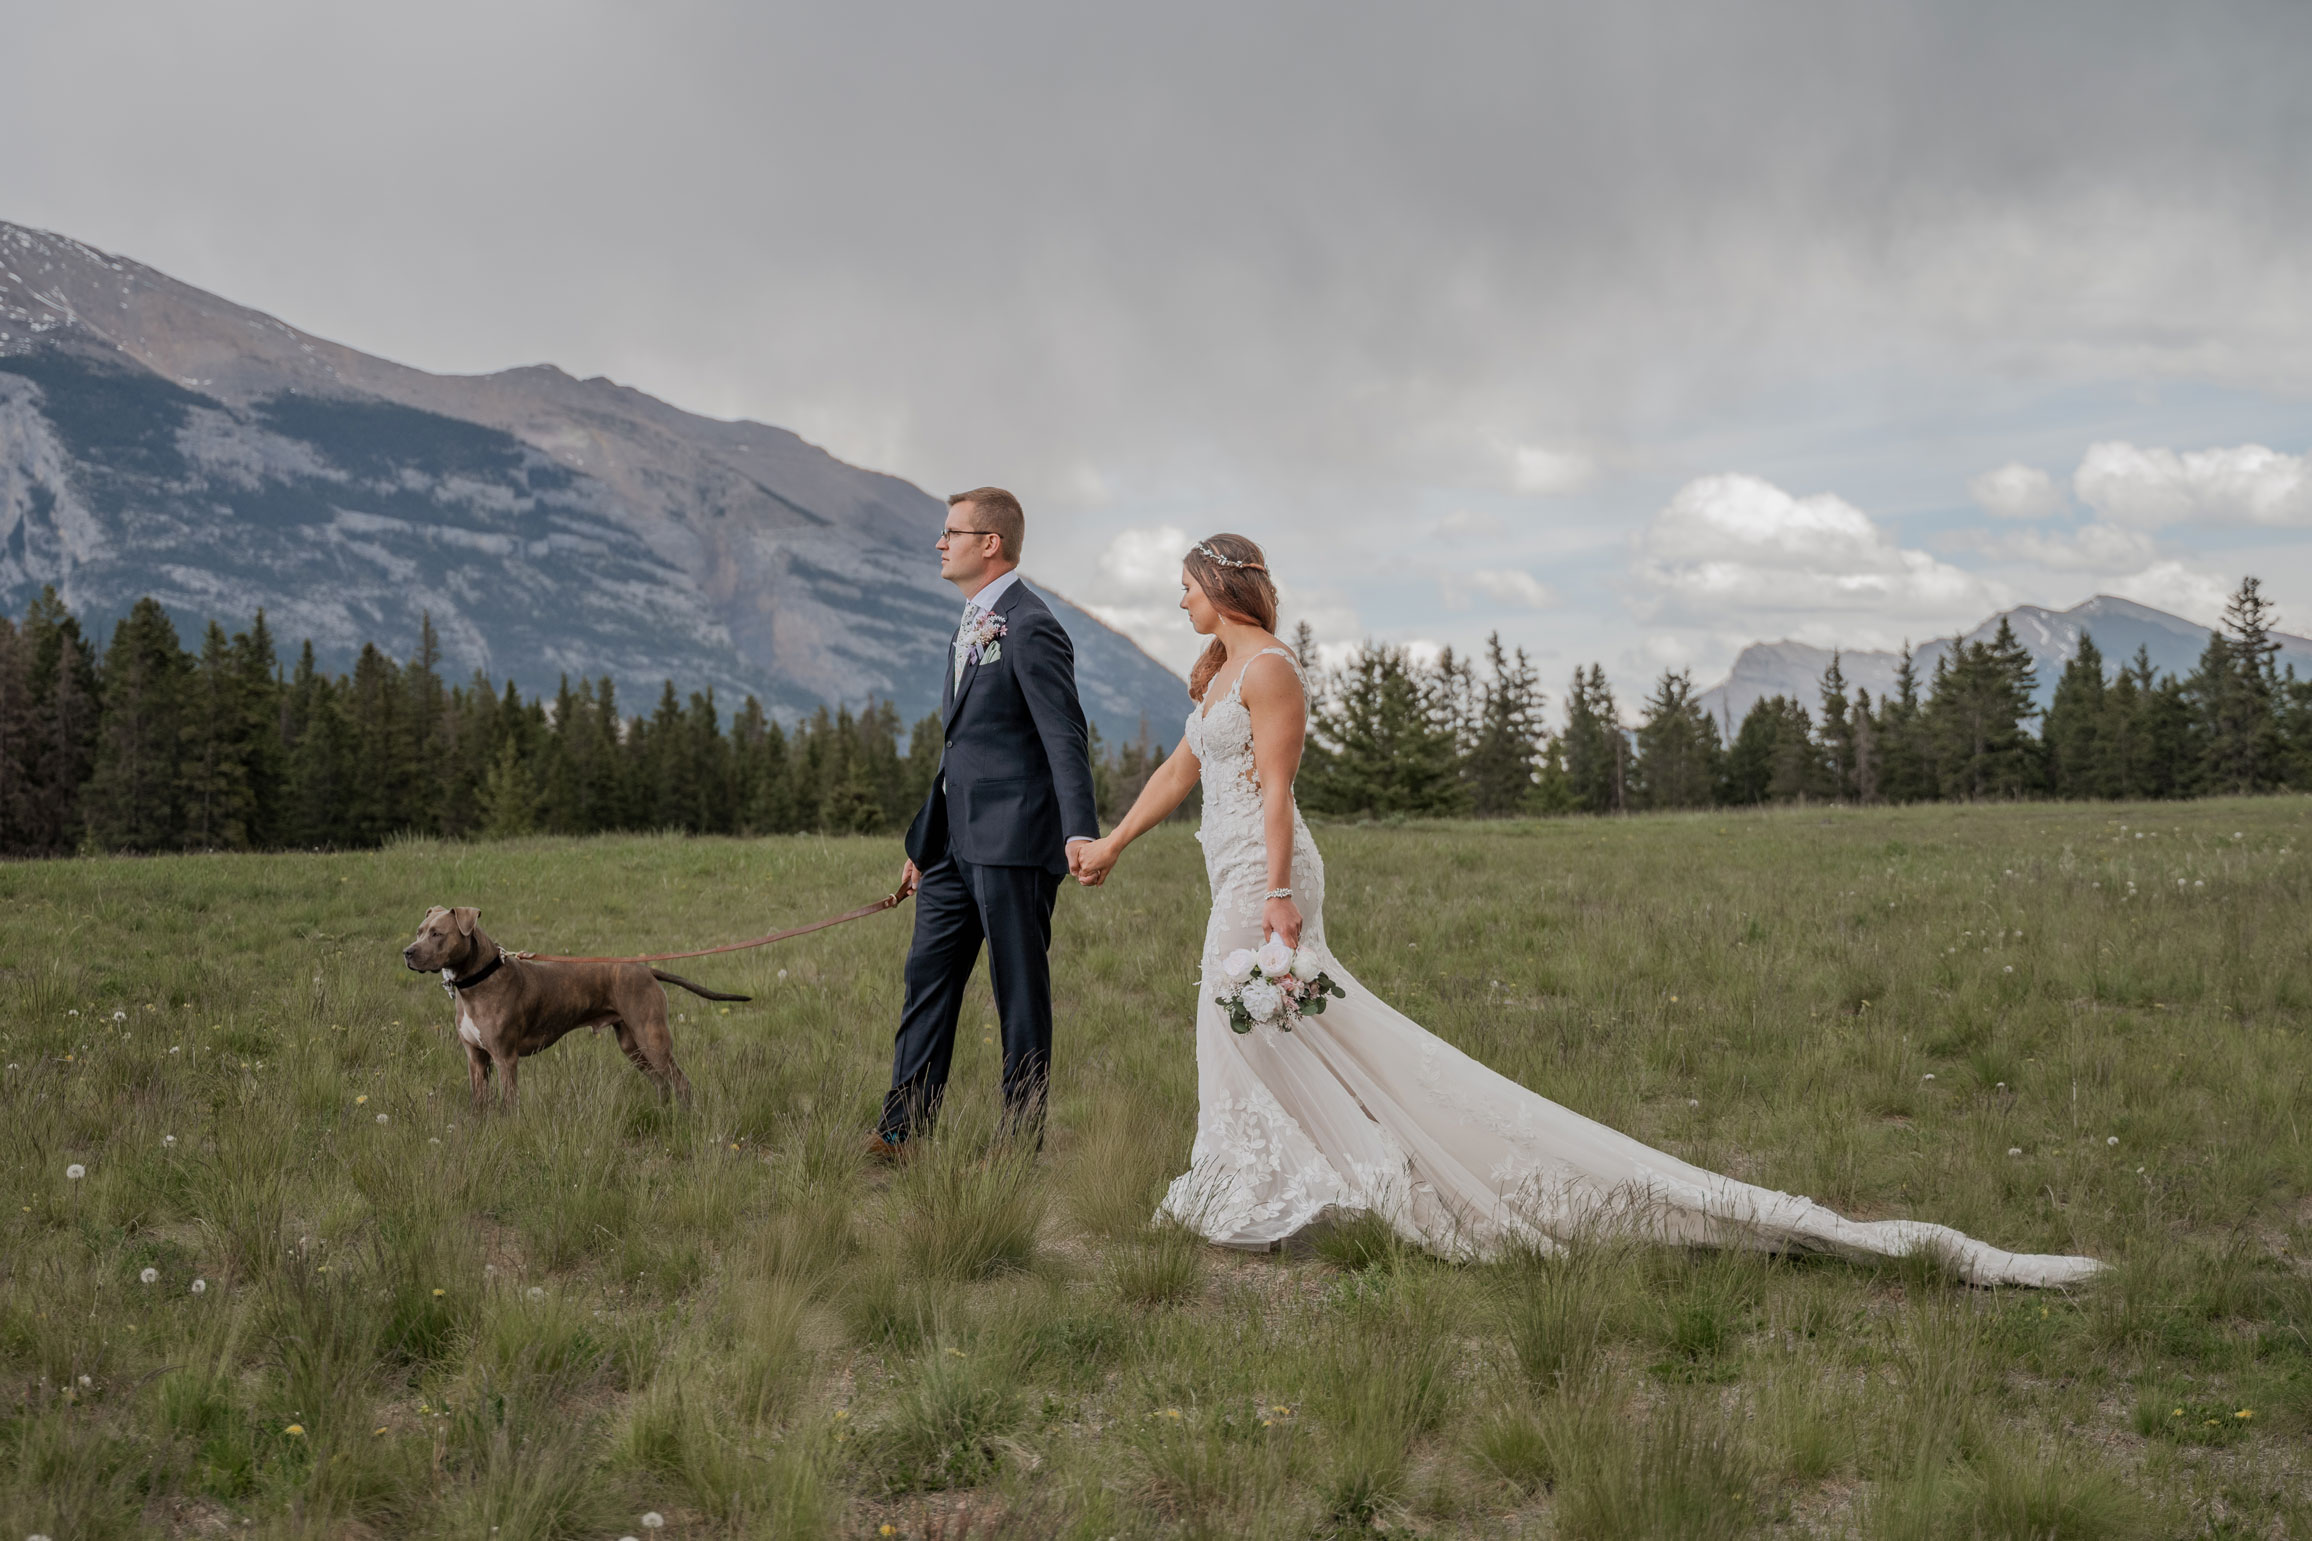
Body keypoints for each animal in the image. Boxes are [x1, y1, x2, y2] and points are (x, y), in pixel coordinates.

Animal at [399, 905, 749, 1108]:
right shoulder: (475, 1058)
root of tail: (646, 968)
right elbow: (478, 1104)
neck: (478, 981)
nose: (407, 952)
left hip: (652, 1038)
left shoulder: (505, 1058)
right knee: (662, 1083)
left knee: (680, 1082)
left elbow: (509, 1103)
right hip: (632, 1044)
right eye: (419, 931)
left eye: (437, 934)